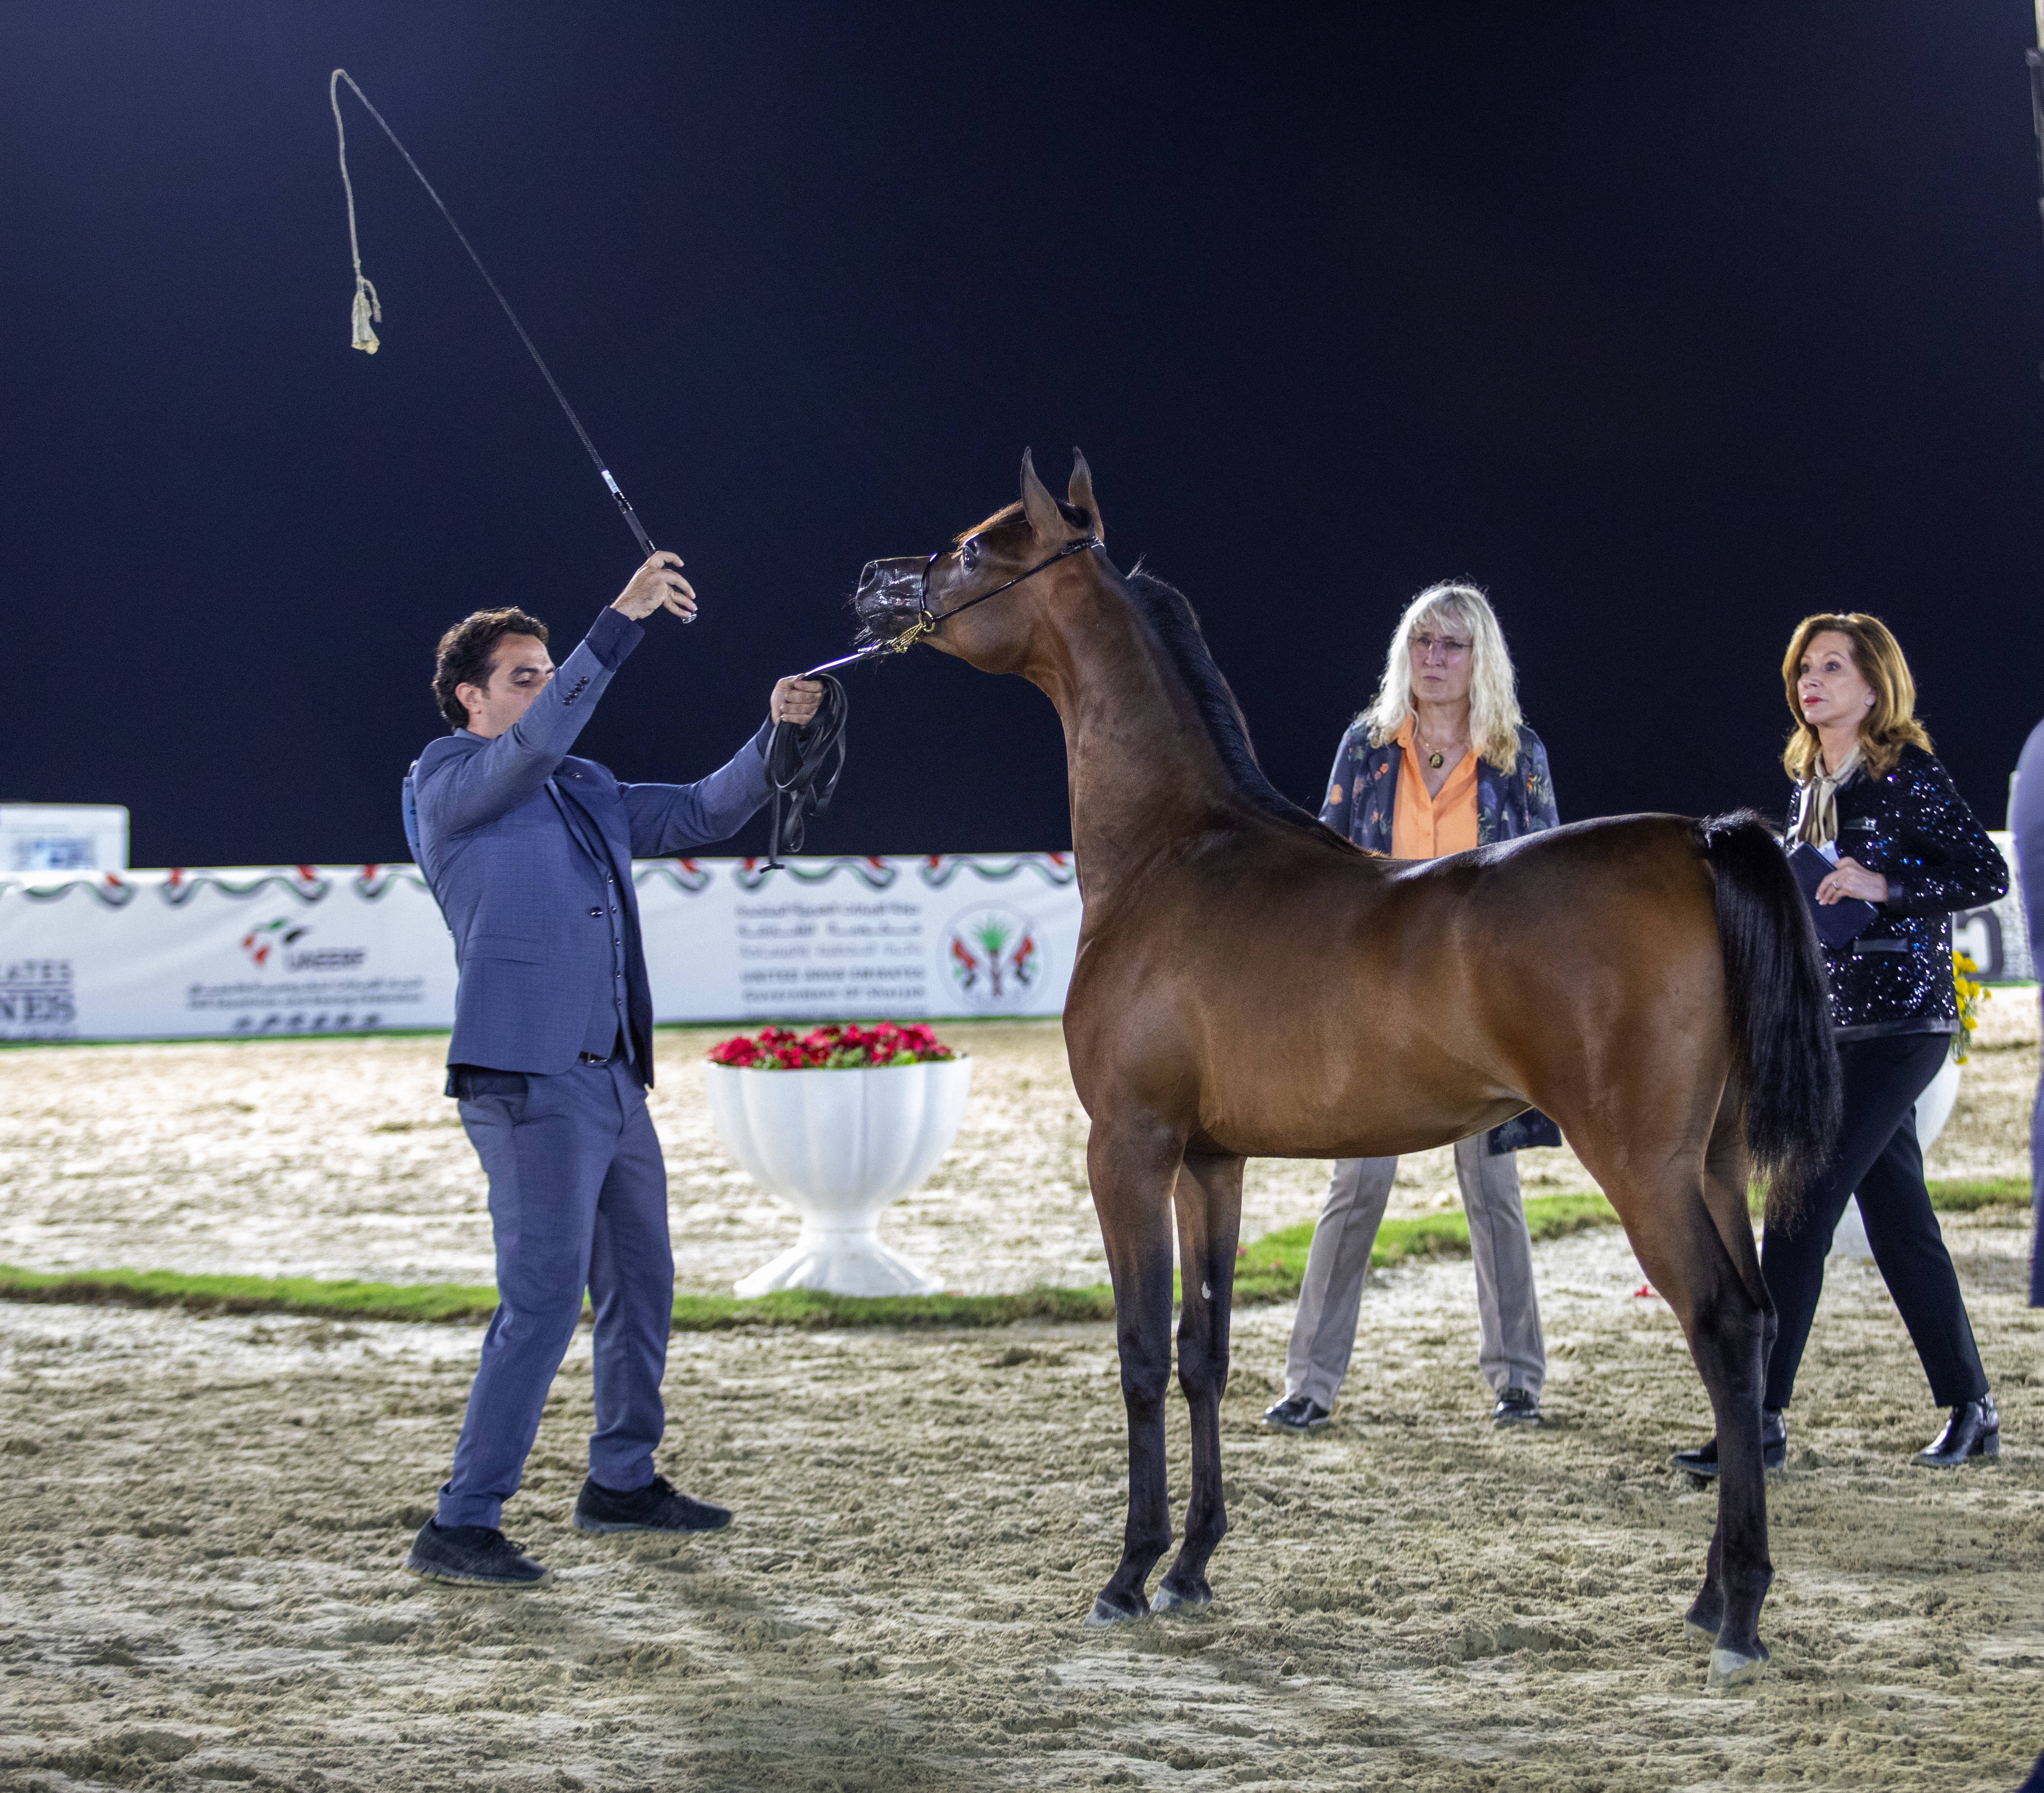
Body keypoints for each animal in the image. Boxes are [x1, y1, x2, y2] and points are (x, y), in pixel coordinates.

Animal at [850, 451, 1840, 1688]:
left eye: (977, 545)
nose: (872, 586)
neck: (1176, 851)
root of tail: (1696, 840)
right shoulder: (1208, 1163)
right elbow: (1205, 1351)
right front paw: (1191, 1567)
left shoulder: (1126, 1150)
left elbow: (1137, 1354)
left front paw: (1127, 1575)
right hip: (1709, 1163)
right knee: (1753, 1318)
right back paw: (1711, 1596)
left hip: (1643, 1168)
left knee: (1719, 1324)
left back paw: (1740, 1613)